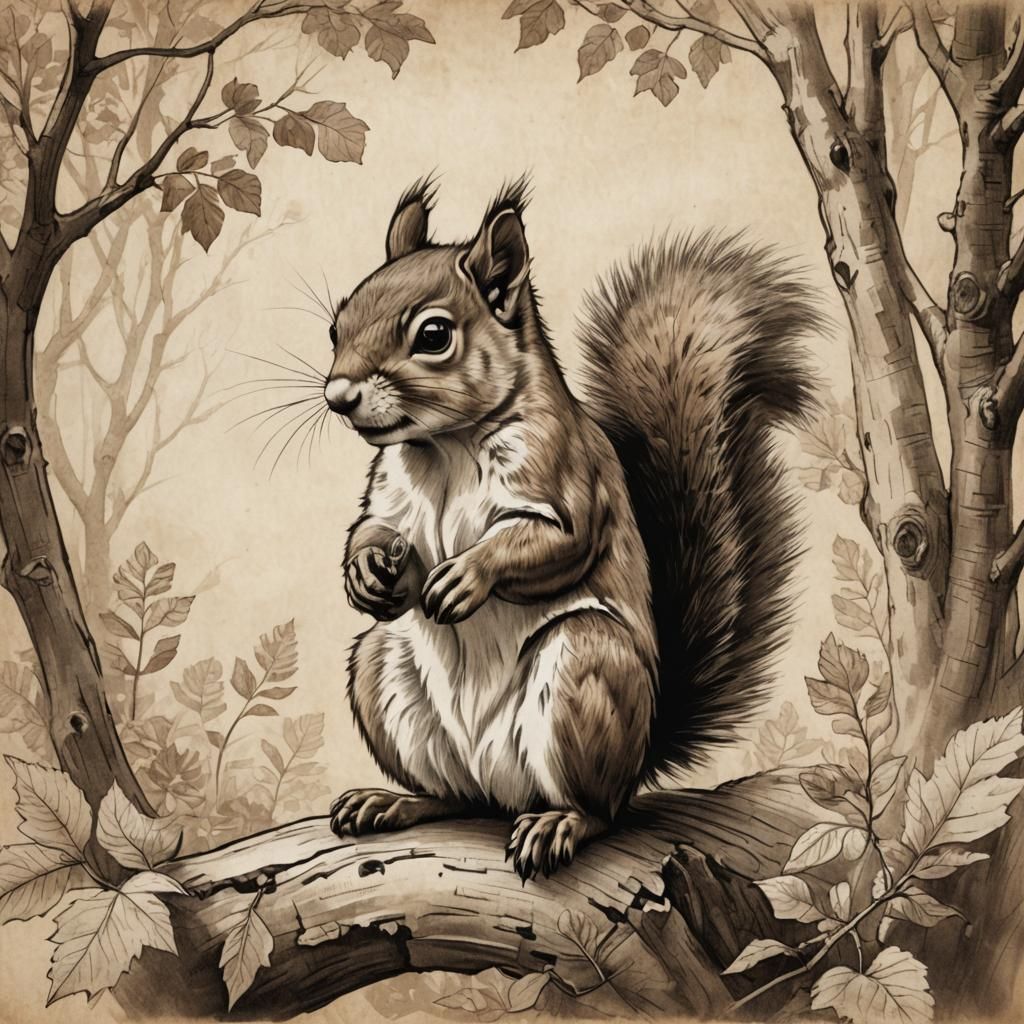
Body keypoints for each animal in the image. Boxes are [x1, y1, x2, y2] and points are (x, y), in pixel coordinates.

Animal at [324, 177, 821, 879]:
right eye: (336, 325)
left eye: (434, 335)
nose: (338, 397)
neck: (445, 447)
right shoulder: (390, 503)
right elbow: (371, 530)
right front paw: (366, 575)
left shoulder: (566, 481)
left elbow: (553, 545)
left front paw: (464, 577)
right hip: (380, 671)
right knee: (453, 796)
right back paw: (395, 801)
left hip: (584, 670)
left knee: (597, 810)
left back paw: (558, 822)